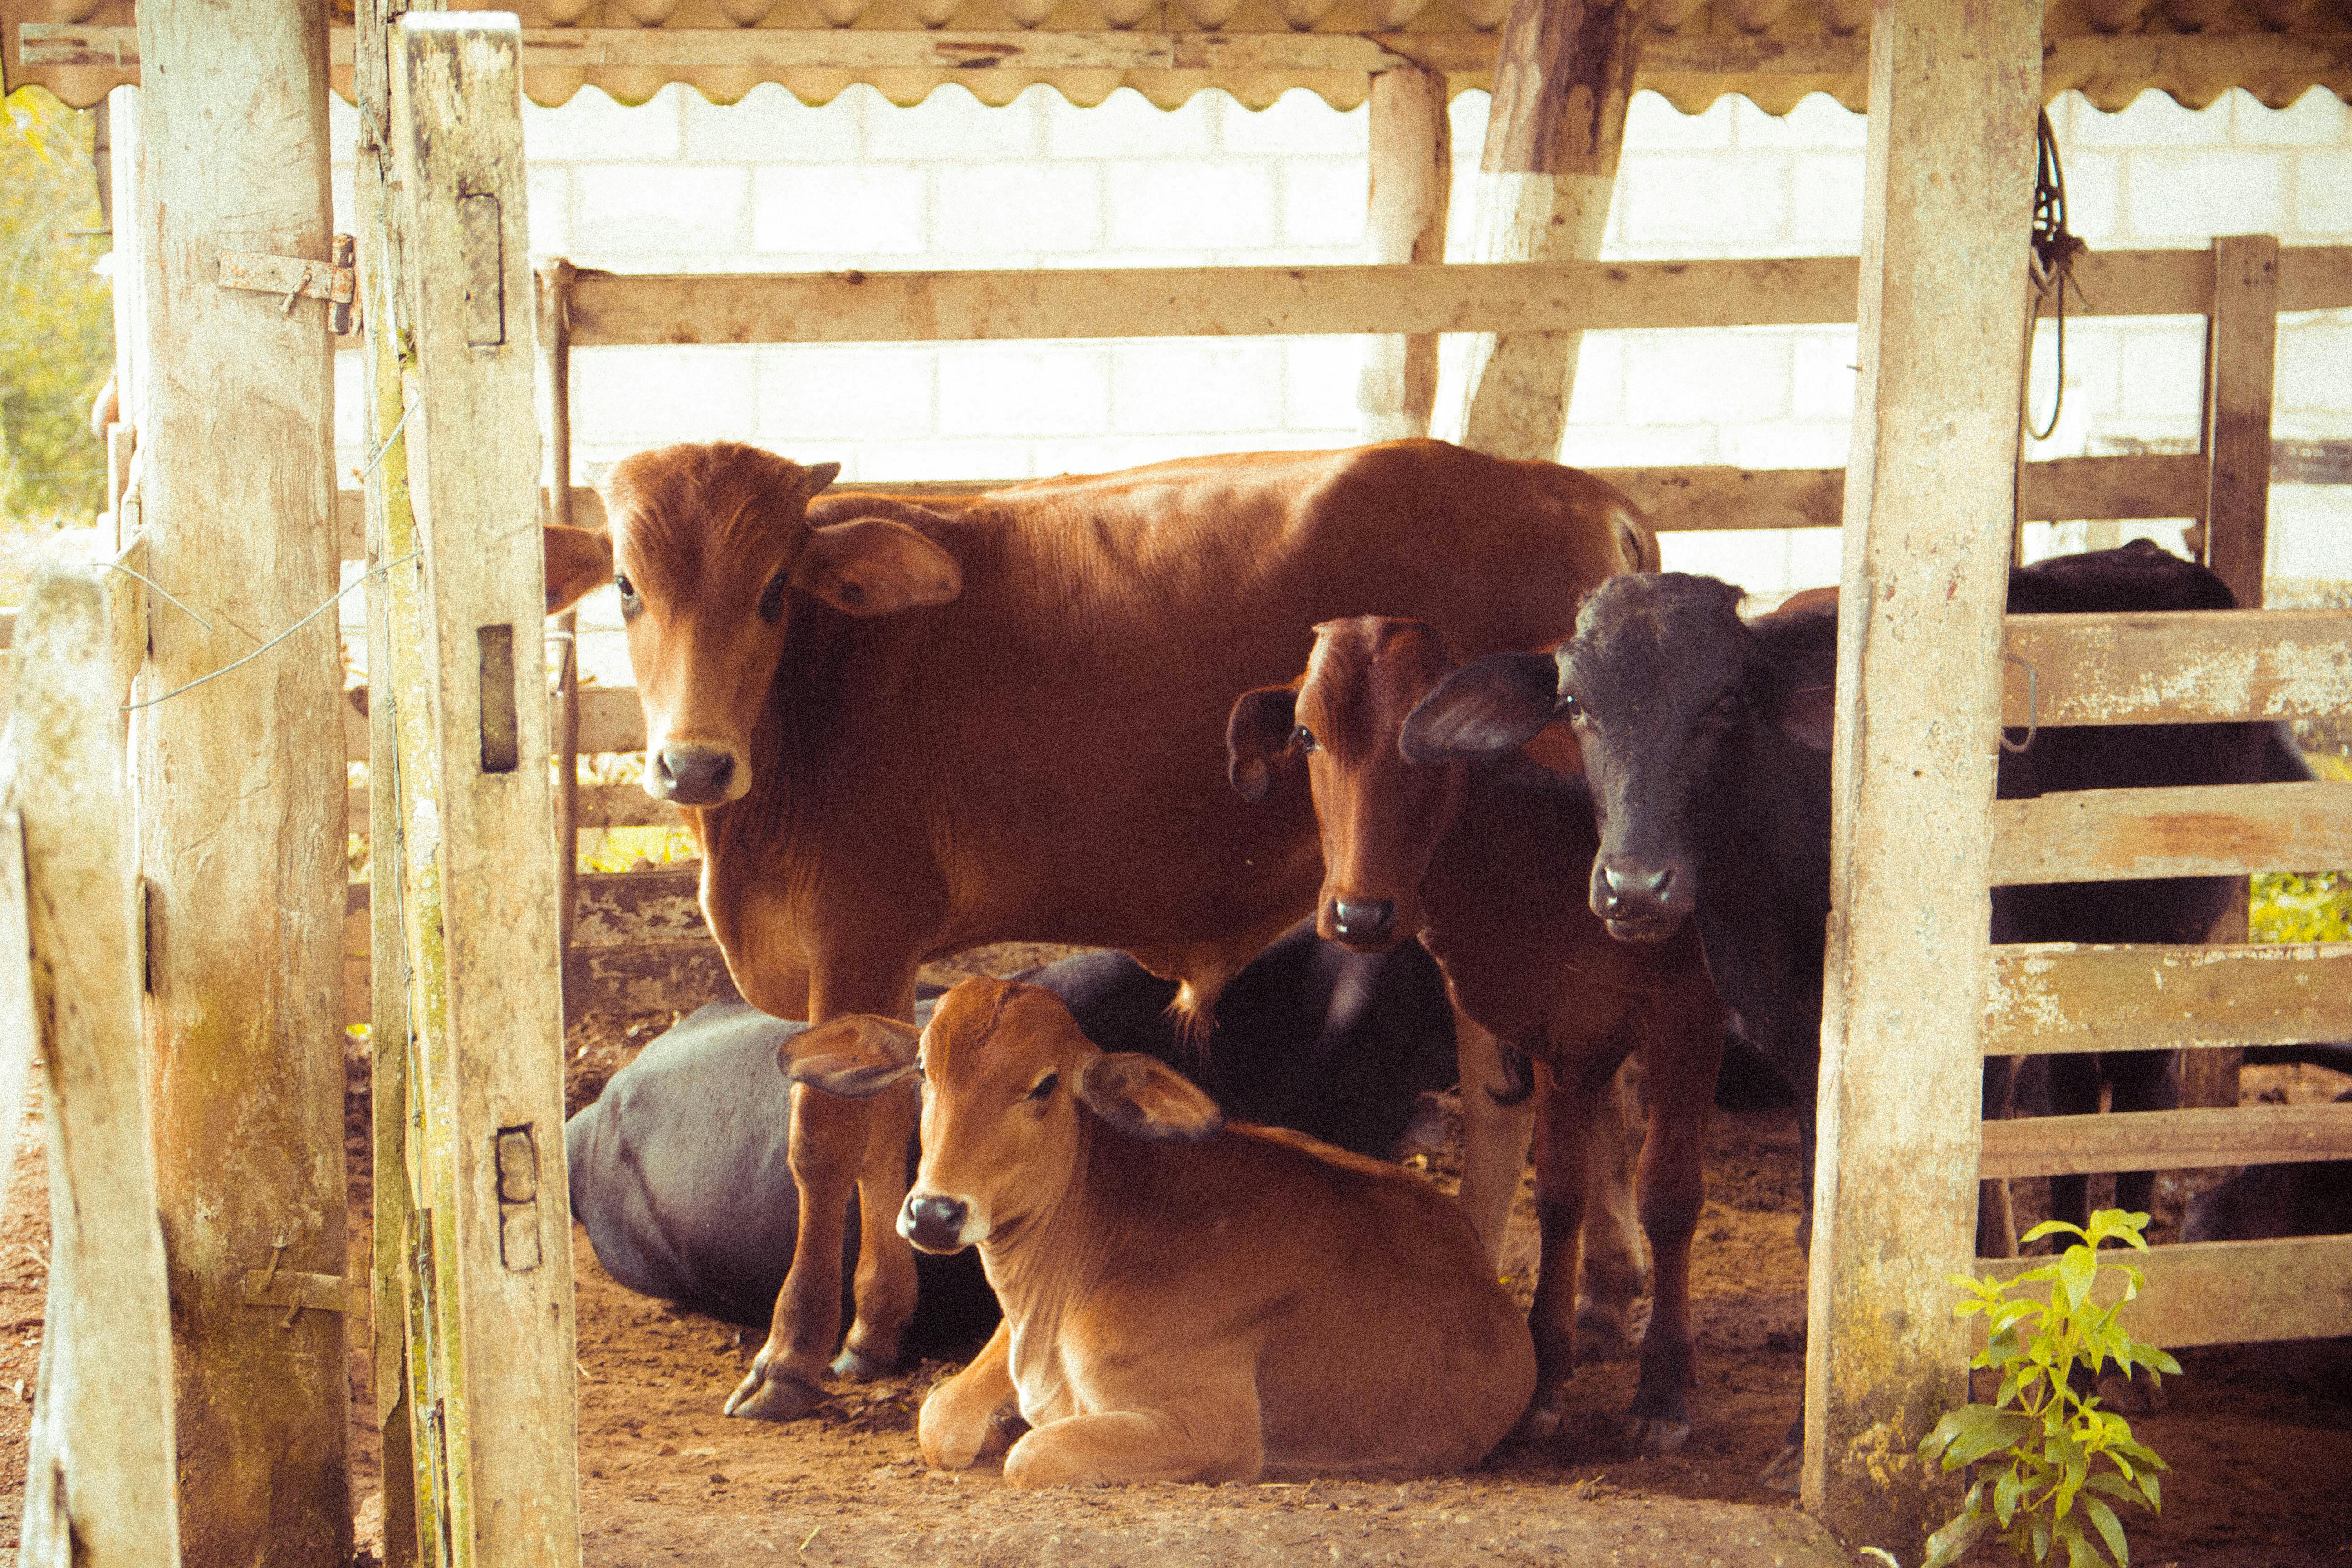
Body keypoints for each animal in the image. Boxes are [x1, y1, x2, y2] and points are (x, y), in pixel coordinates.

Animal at [781, 982, 1533, 1485]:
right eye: (923, 1071)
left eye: (1046, 1085)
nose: (935, 1213)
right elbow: (939, 1420)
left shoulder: (1215, 1427)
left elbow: (1034, 1456)